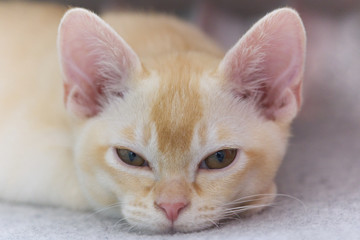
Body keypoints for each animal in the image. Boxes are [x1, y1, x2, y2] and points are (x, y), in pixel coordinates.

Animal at [0, 2, 306, 233]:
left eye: (220, 158)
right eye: (130, 157)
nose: (171, 207)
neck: (165, 41)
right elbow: (89, 191)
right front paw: (260, 196)